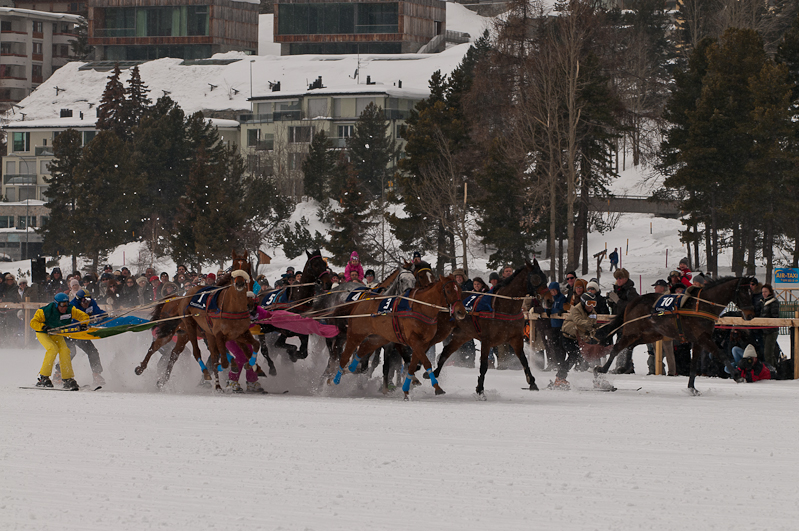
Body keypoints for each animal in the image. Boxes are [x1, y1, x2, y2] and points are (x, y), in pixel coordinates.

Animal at [332, 274, 468, 400]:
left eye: (460, 290)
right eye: (449, 291)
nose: (461, 312)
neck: (419, 308)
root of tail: (360, 302)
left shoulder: (422, 343)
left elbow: (412, 366)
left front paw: (406, 391)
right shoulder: (414, 341)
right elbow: (426, 363)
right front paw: (437, 387)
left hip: (377, 338)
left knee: (363, 350)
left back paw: (351, 368)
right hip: (355, 335)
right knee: (344, 357)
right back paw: (334, 380)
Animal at [428, 258, 552, 400]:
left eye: (545, 277)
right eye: (536, 278)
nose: (550, 300)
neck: (503, 307)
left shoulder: (516, 338)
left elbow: (524, 360)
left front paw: (532, 383)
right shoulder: (487, 340)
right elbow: (484, 365)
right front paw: (480, 390)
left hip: (462, 335)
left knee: (446, 351)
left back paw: (434, 373)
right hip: (441, 331)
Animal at [592, 278, 756, 394]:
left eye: (752, 293)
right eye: (743, 293)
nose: (750, 315)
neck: (701, 305)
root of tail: (633, 302)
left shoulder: (699, 340)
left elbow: (693, 364)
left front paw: (691, 388)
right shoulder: (703, 338)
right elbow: (721, 354)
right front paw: (737, 376)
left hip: (649, 335)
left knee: (628, 347)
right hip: (632, 332)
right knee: (616, 348)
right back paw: (600, 373)